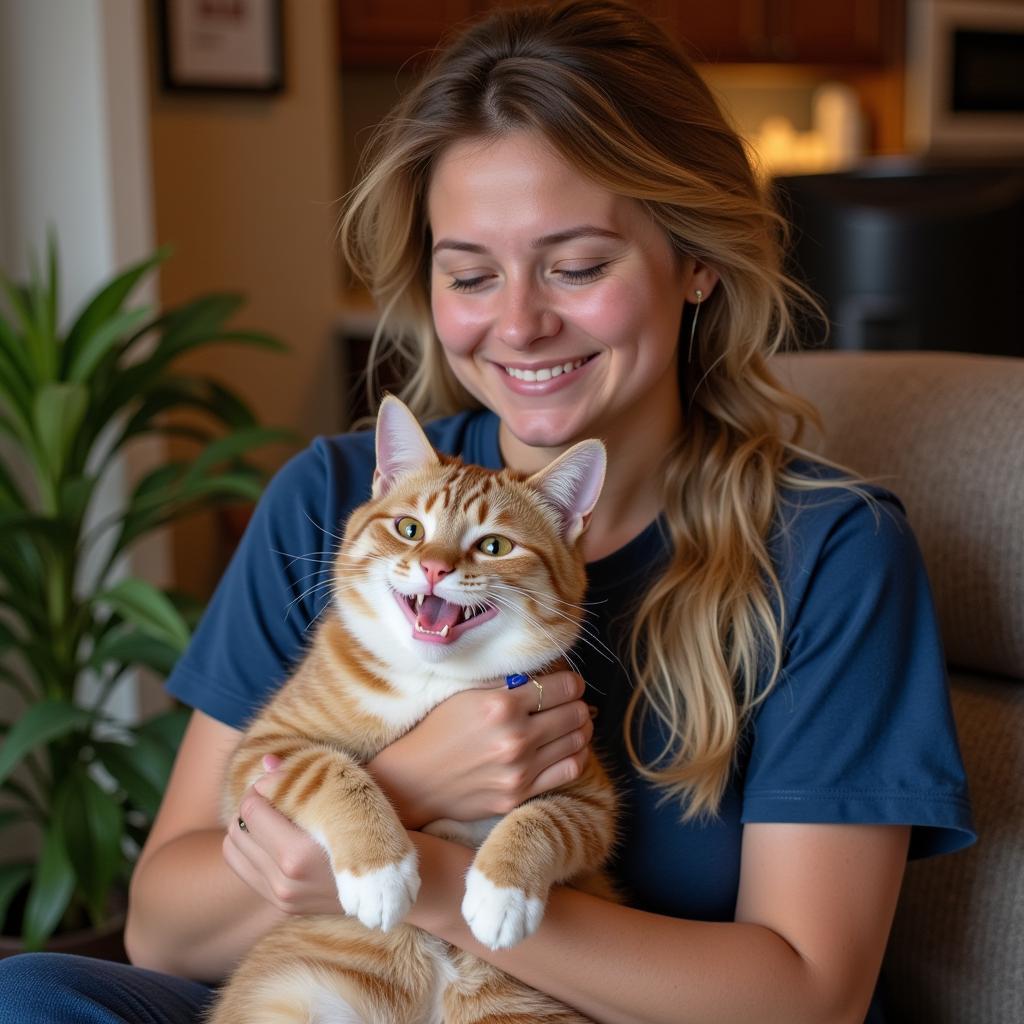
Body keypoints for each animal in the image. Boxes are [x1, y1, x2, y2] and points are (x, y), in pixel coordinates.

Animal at [209, 397, 614, 1024]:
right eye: (409, 529)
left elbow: (546, 819)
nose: (433, 569)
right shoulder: (263, 753)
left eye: (494, 546)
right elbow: (331, 770)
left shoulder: (593, 799)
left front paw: (502, 893)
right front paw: (380, 870)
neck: (433, 679)